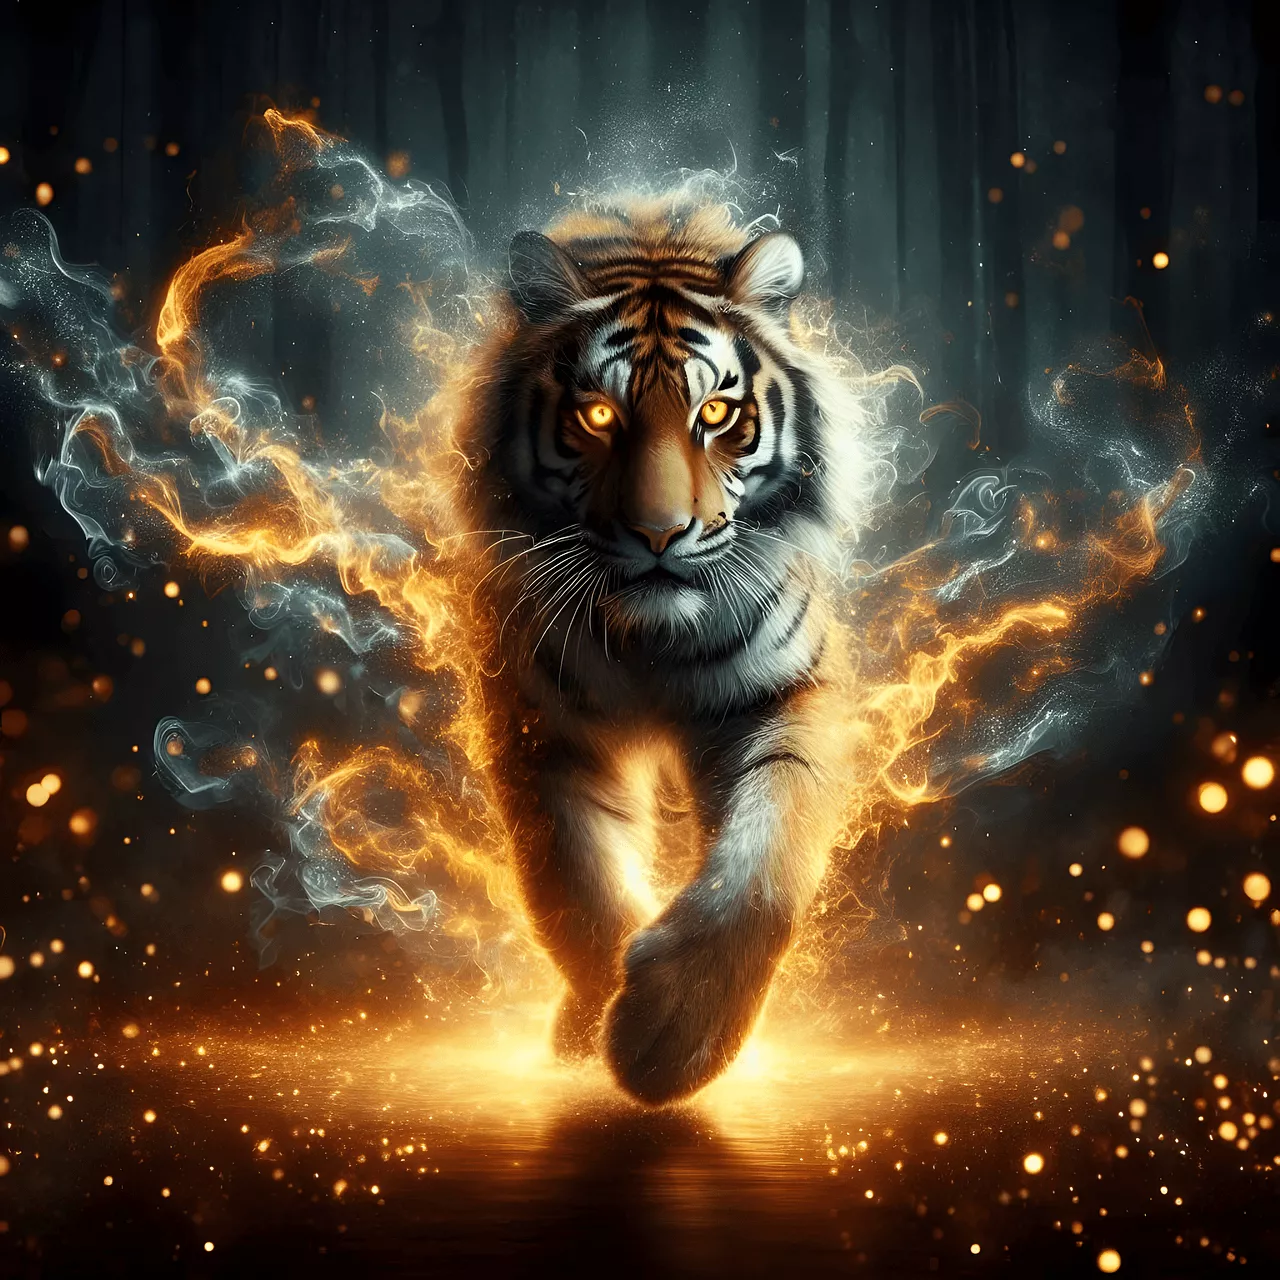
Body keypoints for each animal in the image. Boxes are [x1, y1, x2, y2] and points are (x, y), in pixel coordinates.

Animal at [460, 199, 870, 1105]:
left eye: (715, 415)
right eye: (597, 416)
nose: (658, 533)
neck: (652, 642)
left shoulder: (788, 698)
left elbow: (765, 863)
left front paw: (671, 1041)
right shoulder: (541, 728)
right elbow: (575, 888)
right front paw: (601, 1026)